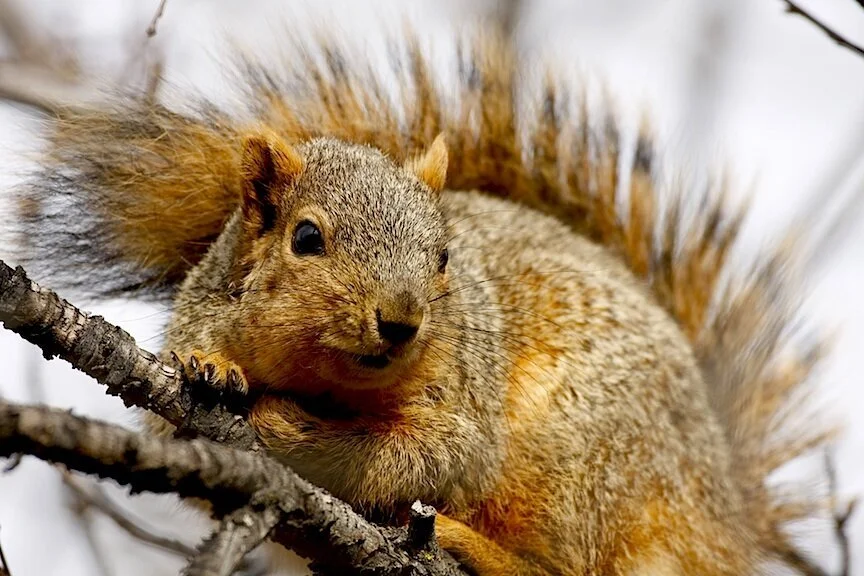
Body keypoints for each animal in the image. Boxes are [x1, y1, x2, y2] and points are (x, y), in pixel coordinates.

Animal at [15, 29, 833, 576]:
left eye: (444, 257)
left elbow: (428, 458)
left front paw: (293, 430)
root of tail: (722, 519)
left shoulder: (463, 401)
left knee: (562, 565)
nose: (401, 320)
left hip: (578, 445)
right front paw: (210, 370)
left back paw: (472, 548)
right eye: (305, 238)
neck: (325, 379)